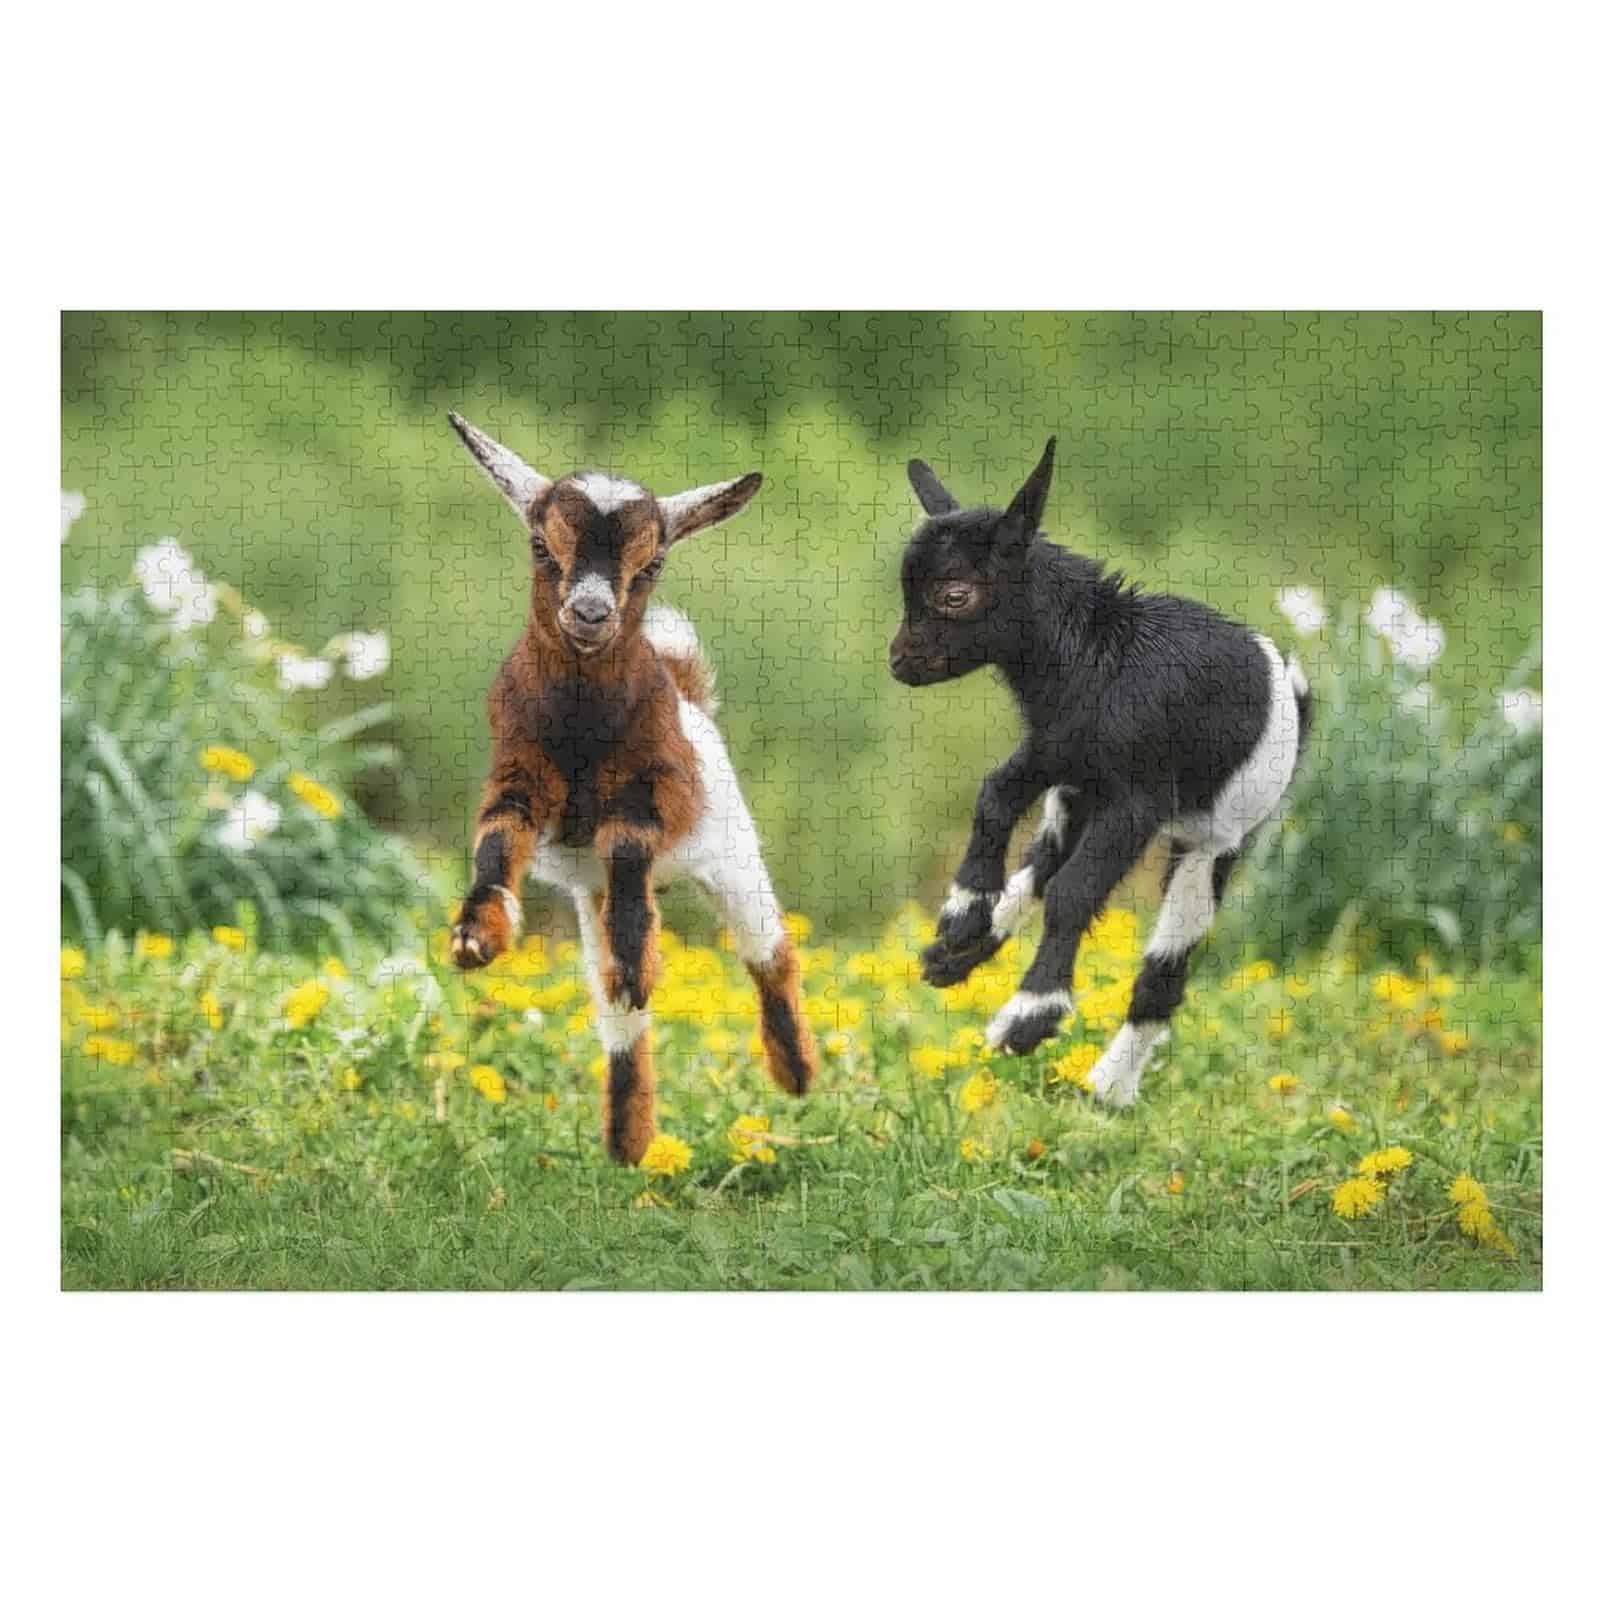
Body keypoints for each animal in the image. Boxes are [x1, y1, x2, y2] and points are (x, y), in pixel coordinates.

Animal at [446, 412, 818, 1163]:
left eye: (652, 563)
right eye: (541, 544)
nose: (591, 615)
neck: (584, 723)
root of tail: (688, 690)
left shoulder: (657, 787)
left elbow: (626, 841)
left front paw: (639, 963)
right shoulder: (520, 771)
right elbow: (496, 839)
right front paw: (476, 936)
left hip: (735, 856)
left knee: (770, 952)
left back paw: (794, 1072)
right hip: (589, 902)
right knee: (620, 1020)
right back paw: (629, 1141)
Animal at [889, 438, 1311, 1107]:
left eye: (954, 594)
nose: (900, 662)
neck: (1099, 654)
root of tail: (1292, 695)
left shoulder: (1136, 799)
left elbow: (1075, 893)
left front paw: (1028, 1019)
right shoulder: (1055, 752)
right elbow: (993, 797)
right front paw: (962, 913)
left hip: (1211, 842)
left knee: (1161, 971)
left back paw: (1109, 1088)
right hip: (1076, 800)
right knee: (1040, 866)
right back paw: (956, 955)